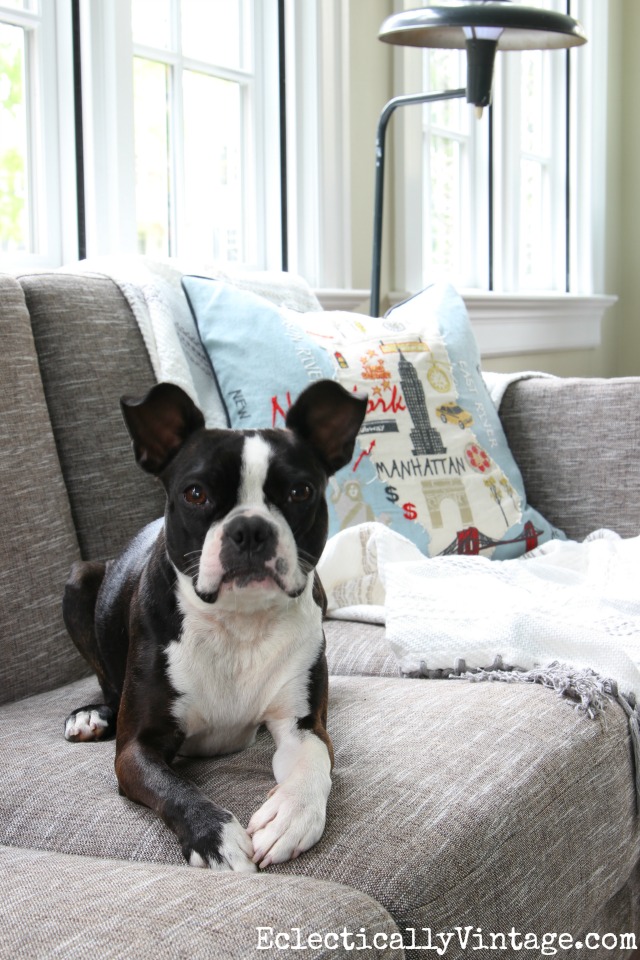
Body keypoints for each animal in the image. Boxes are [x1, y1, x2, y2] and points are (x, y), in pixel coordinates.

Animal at [64, 380, 368, 872]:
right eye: (195, 494)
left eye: (300, 491)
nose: (251, 529)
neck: (238, 623)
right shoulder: (135, 750)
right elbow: (176, 788)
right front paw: (215, 836)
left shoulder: (302, 724)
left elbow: (314, 761)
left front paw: (291, 814)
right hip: (79, 578)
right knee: (107, 684)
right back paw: (91, 713)